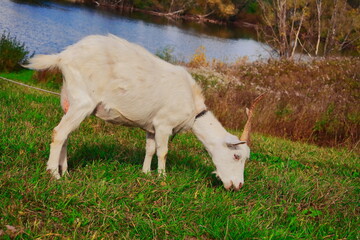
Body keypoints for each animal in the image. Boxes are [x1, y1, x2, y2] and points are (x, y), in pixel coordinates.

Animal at [25, 34, 262, 191]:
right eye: (236, 155)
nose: (238, 185)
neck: (193, 109)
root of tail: (64, 56)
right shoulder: (164, 124)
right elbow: (163, 152)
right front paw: (162, 177)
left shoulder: (151, 126)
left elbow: (149, 149)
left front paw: (146, 173)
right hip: (83, 101)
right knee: (59, 132)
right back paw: (53, 174)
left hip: (68, 99)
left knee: (65, 134)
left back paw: (64, 171)